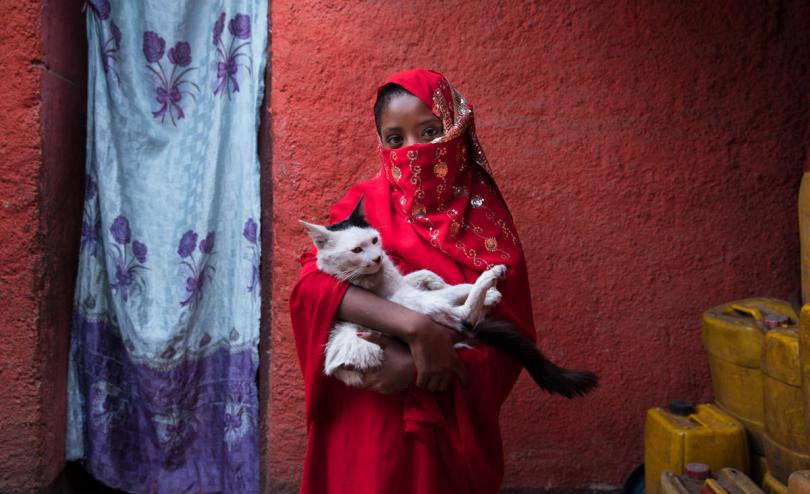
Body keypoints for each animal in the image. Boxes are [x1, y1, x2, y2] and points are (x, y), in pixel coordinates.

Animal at [300, 197, 596, 398]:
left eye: (374, 240)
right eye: (357, 250)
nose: (377, 258)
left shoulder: (402, 282)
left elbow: (427, 274)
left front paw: (443, 282)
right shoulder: (401, 294)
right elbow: (453, 291)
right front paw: (487, 289)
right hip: (412, 307)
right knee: (464, 317)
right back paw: (489, 279)